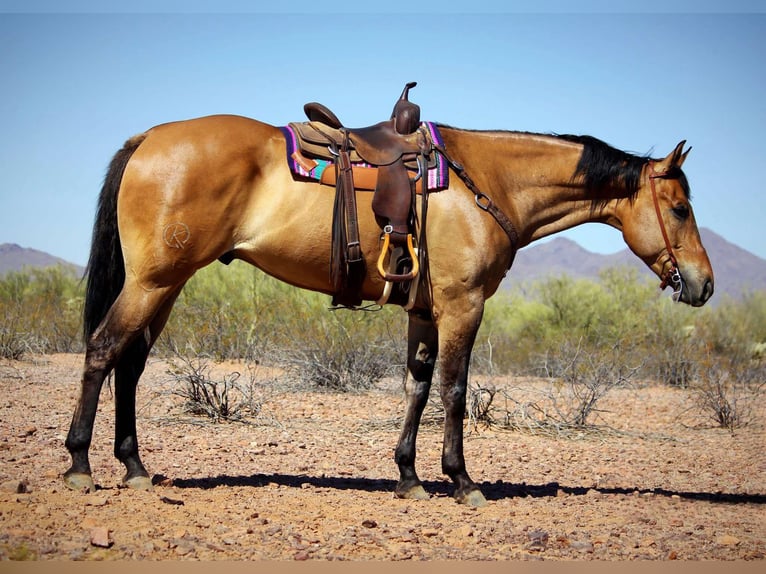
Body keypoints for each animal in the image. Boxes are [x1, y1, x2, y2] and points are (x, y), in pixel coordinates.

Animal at [63, 113, 714, 507]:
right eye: (680, 208)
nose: (704, 285)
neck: (490, 183)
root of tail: (148, 139)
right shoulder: (462, 305)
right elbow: (455, 389)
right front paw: (461, 480)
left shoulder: (424, 310)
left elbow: (418, 387)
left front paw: (408, 476)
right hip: (153, 281)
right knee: (102, 349)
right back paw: (79, 464)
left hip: (165, 285)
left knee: (129, 363)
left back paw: (134, 467)